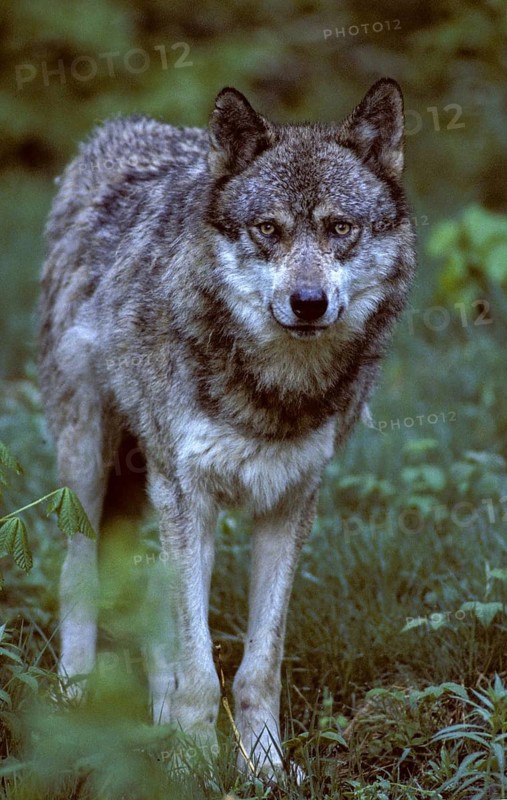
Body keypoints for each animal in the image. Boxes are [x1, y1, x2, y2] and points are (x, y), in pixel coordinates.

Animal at [38, 78, 415, 777]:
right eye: (268, 229)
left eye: (340, 228)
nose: (307, 303)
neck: (275, 391)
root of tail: (118, 129)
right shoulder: (190, 497)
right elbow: (200, 667)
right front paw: (191, 766)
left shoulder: (291, 502)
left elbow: (257, 667)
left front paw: (263, 765)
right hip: (90, 463)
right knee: (79, 575)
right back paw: (73, 698)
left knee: (150, 592)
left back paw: (155, 712)